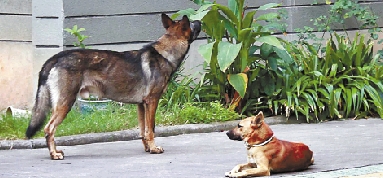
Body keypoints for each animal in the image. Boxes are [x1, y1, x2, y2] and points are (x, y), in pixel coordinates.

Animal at [25, 13, 202, 159]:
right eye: (192, 24)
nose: (200, 21)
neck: (165, 53)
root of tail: (57, 56)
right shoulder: (152, 102)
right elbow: (151, 129)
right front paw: (153, 149)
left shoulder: (141, 105)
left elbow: (143, 131)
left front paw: (147, 148)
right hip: (65, 104)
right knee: (49, 129)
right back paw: (54, 154)